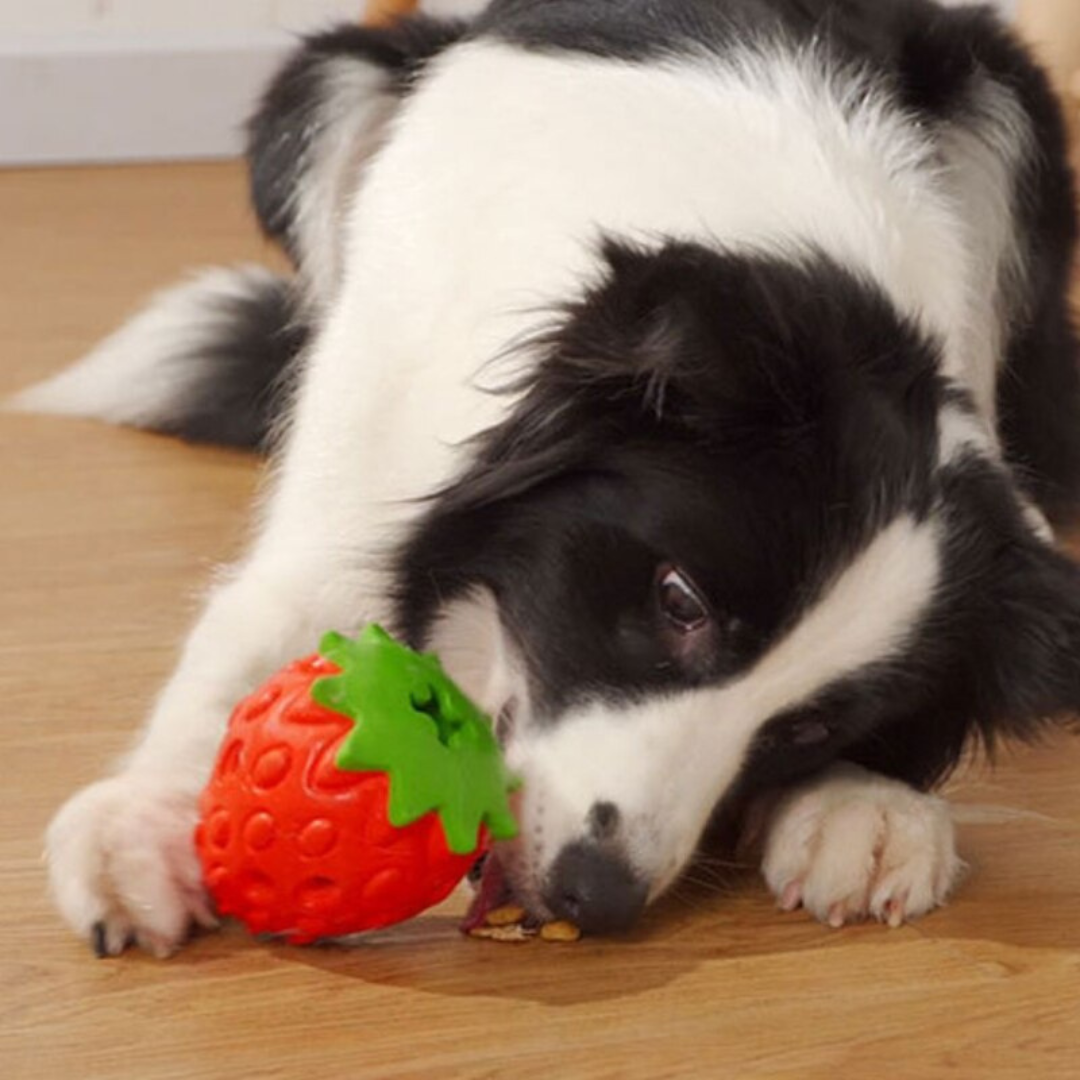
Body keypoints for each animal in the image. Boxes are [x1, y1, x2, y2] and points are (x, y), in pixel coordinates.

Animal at [21, 0, 1080, 959]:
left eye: (814, 726)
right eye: (679, 599)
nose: (598, 894)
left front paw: (866, 798)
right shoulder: (371, 435)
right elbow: (252, 631)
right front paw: (143, 824)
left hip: (1011, 109)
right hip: (323, 87)